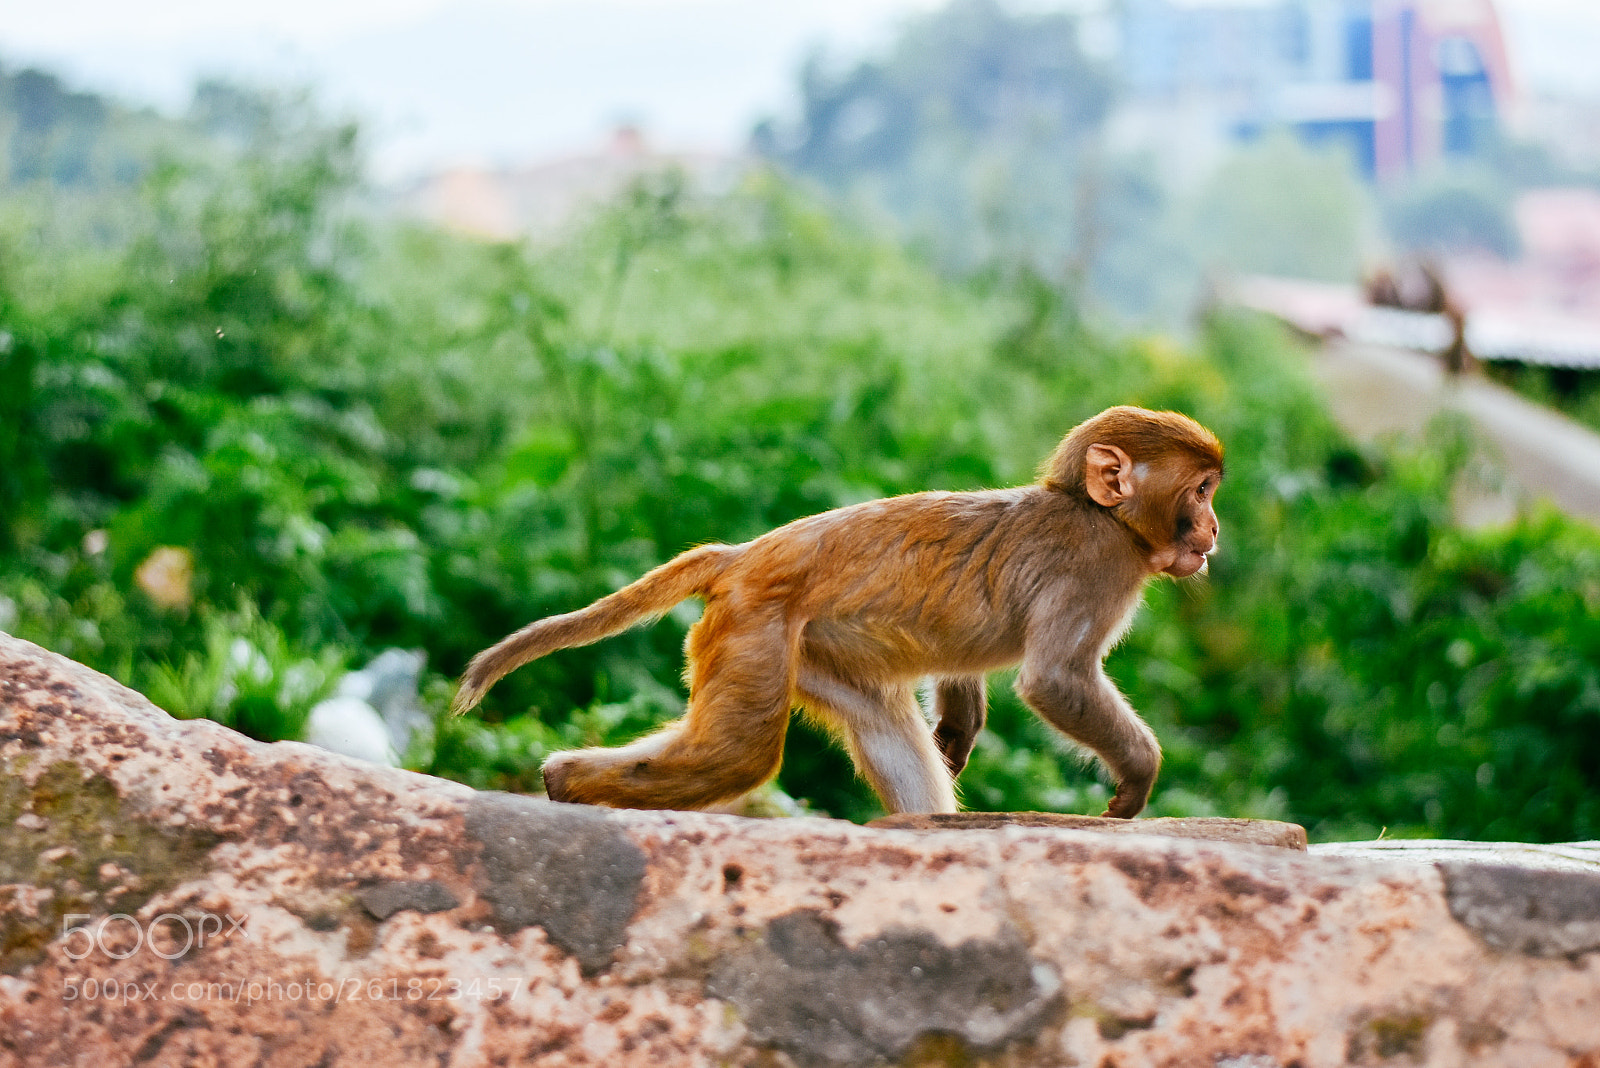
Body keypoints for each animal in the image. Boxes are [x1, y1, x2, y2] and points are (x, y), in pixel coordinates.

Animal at [451, 405, 1223, 819]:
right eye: (1201, 490)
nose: (1213, 531)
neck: (1103, 515)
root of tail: (742, 556)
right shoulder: (1099, 569)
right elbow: (1055, 679)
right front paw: (1137, 775)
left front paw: (960, 723)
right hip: (755, 628)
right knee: (736, 755)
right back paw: (566, 782)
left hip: (811, 650)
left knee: (877, 727)